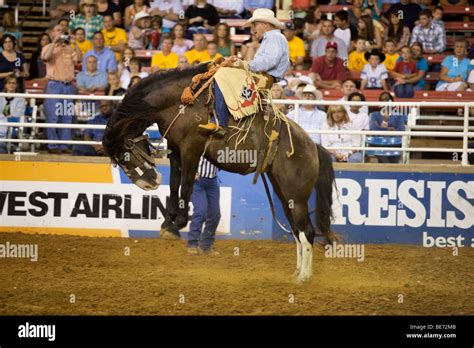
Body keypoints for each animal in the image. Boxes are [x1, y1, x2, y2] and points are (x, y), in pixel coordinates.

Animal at [102, 64, 336, 282]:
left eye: (125, 152)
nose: (148, 184)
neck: (181, 102)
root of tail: (313, 147)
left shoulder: (191, 148)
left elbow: (186, 186)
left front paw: (178, 224)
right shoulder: (175, 149)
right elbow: (175, 185)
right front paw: (168, 223)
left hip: (297, 197)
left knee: (307, 232)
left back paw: (304, 276)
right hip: (285, 194)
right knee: (297, 231)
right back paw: (297, 273)